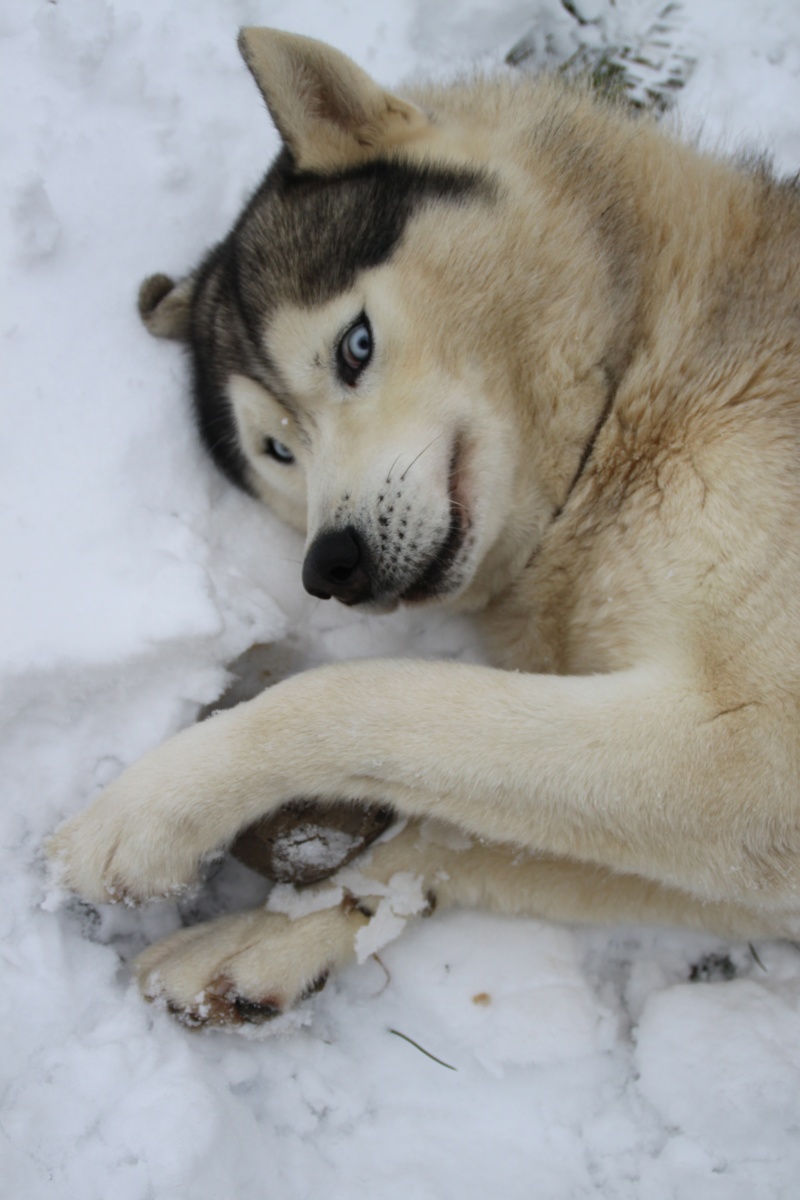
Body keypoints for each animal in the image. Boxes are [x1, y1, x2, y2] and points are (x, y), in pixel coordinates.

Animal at [48, 25, 800, 1022]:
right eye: (278, 452)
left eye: (357, 346)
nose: (330, 565)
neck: (636, 383)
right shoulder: (749, 848)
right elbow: (459, 838)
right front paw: (279, 933)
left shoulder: (751, 747)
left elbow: (359, 698)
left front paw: (148, 812)